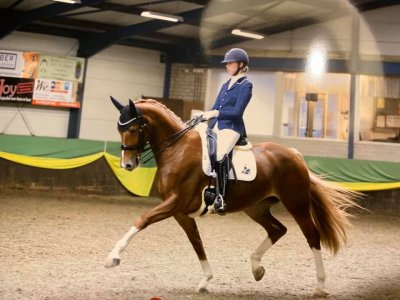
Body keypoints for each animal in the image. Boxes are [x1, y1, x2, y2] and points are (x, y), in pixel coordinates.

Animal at [105, 98, 360, 296]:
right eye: (119, 129)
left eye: (134, 129)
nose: (127, 165)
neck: (177, 149)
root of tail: (294, 154)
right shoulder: (181, 212)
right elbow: (196, 242)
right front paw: (206, 280)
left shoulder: (175, 202)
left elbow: (142, 219)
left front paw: (113, 258)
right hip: (255, 207)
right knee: (277, 229)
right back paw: (257, 268)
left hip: (296, 203)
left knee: (312, 236)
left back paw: (320, 286)